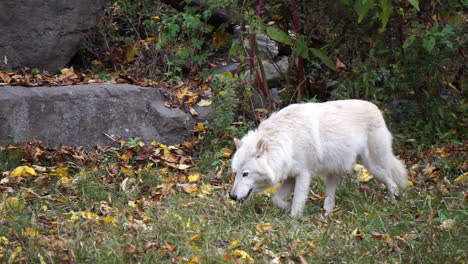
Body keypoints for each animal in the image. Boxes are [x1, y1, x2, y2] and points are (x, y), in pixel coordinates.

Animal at [229, 100, 406, 216]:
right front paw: (287, 207)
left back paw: (394, 204)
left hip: (374, 167)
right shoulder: (290, 176)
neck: (287, 140)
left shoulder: (303, 175)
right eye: (235, 173)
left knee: (392, 183)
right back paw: (326, 215)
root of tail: (377, 109)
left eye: (245, 174)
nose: (232, 196)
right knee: (330, 198)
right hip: (334, 171)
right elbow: (276, 199)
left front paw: (294, 222)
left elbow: (297, 202)